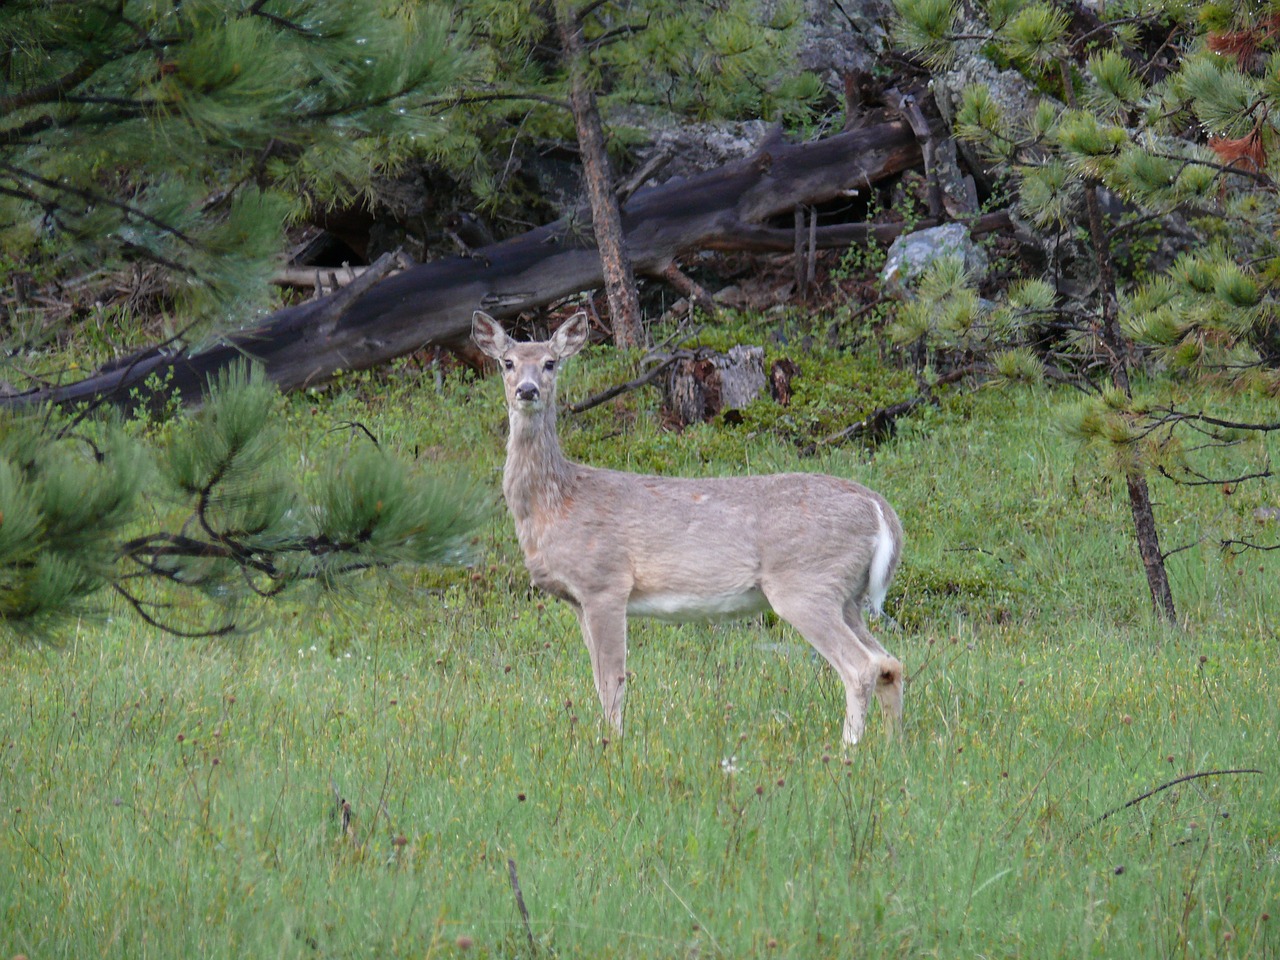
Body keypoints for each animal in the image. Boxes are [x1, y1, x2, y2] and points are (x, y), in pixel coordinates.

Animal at [476, 312, 906, 747]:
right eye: (507, 363)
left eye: (551, 362)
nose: (527, 390)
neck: (557, 501)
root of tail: (880, 509)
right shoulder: (578, 600)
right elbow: (599, 681)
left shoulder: (604, 583)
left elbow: (612, 681)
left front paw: (612, 744)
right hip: (847, 595)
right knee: (890, 662)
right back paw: (889, 745)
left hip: (806, 583)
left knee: (862, 666)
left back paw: (847, 748)